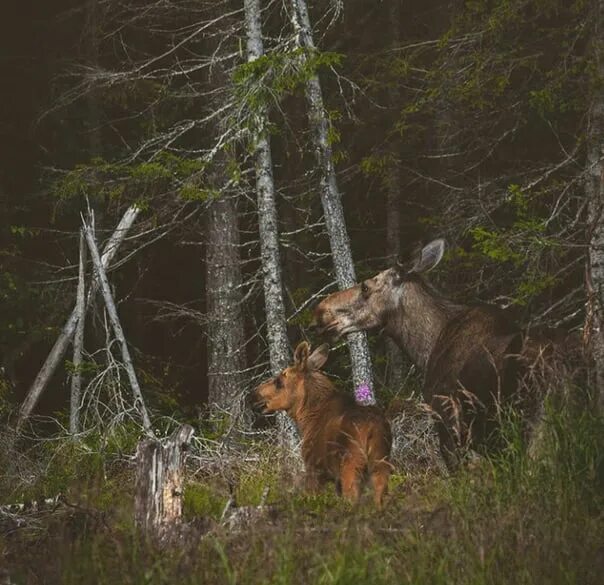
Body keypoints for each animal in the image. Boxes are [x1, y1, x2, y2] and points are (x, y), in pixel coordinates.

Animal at [251, 342, 390, 506]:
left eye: (279, 381)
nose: (254, 394)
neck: (306, 418)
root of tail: (373, 429)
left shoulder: (314, 467)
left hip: (352, 465)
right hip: (381, 463)